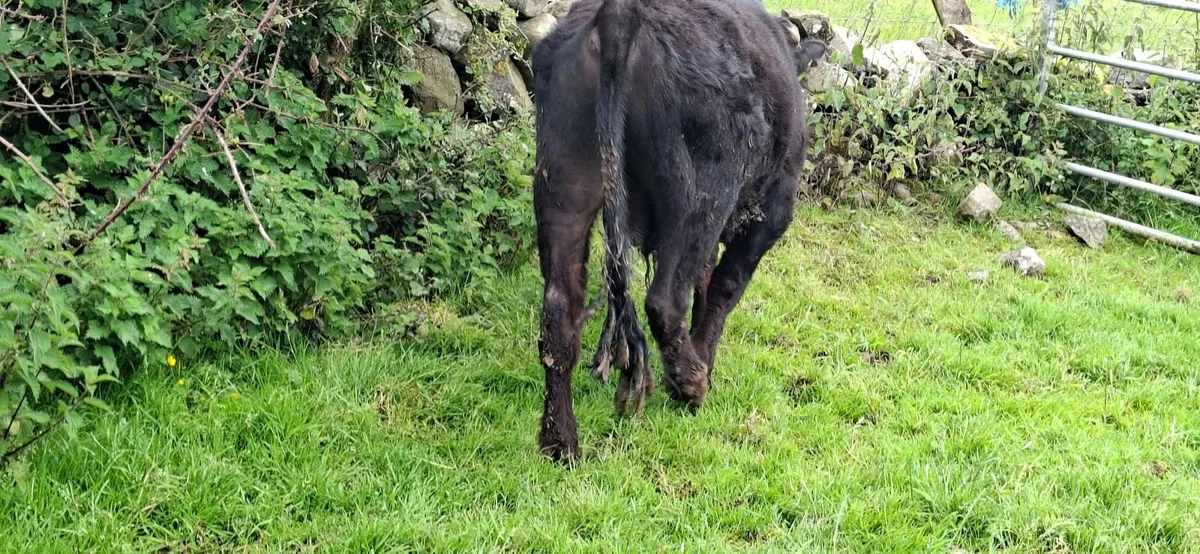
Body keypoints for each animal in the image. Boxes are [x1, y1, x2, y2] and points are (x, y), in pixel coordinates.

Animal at [531, 0, 826, 462]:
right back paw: (691, 383)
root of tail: (619, 16)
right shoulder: (771, 213)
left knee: (559, 311)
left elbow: (706, 281)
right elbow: (723, 287)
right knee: (666, 300)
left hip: (562, 184)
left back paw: (561, 444)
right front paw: (704, 362)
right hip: (702, 198)